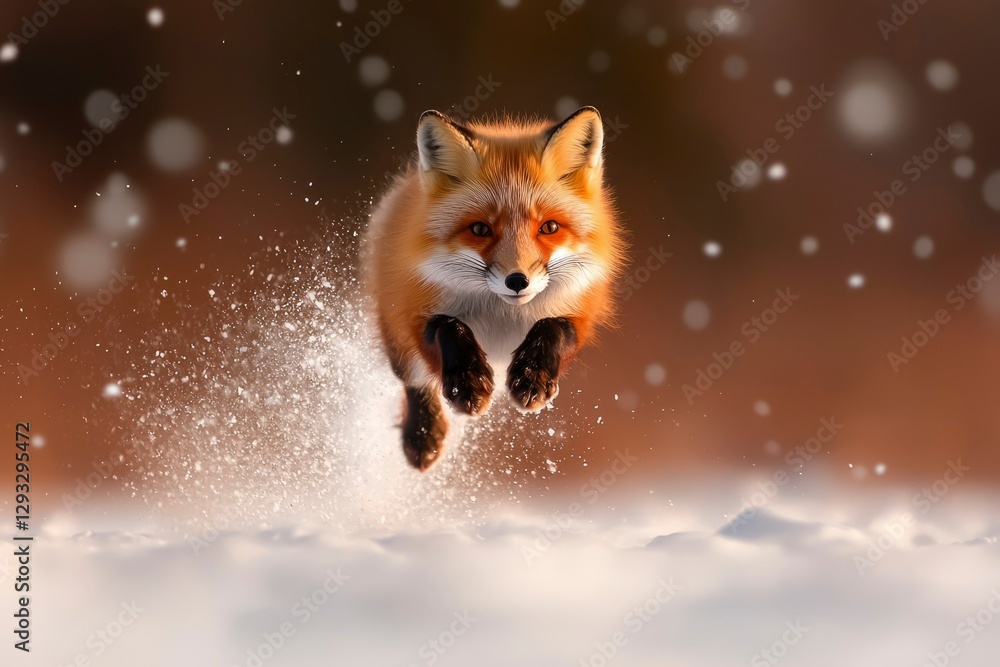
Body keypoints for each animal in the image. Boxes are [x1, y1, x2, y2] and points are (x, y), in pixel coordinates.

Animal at [364, 106, 628, 471]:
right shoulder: (414, 310)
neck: (503, 316)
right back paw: (424, 435)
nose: (517, 281)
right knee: (414, 381)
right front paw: (467, 383)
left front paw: (532, 376)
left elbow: (552, 326)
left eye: (549, 227)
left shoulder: (580, 313)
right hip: (397, 337)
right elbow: (448, 325)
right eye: (479, 229)